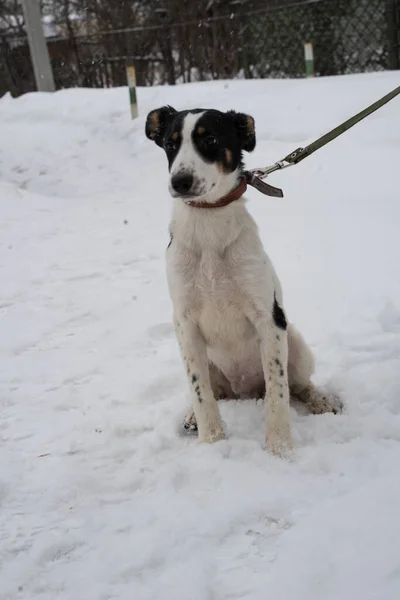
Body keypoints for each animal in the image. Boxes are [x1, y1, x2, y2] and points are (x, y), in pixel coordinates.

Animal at [145, 105, 340, 458]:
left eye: (210, 139)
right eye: (170, 143)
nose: (180, 182)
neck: (208, 223)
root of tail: (244, 391)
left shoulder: (268, 319)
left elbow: (278, 392)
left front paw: (280, 448)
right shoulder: (184, 322)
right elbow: (201, 393)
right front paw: (211, 443)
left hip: (295, 341)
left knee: (299, 385)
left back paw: (321, 399)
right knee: (214, 392)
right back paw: (192, 416)